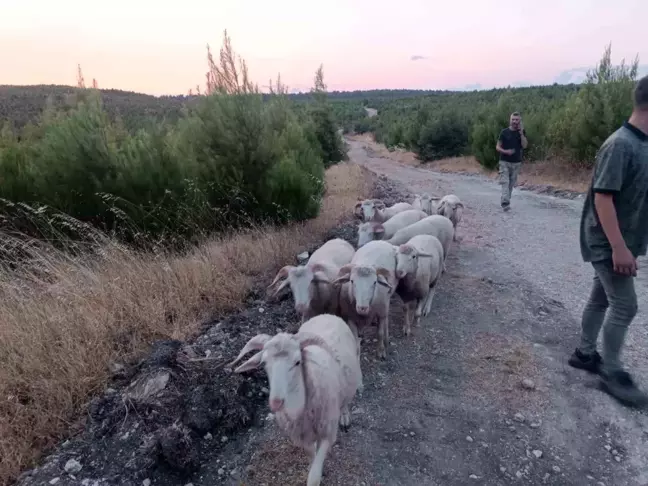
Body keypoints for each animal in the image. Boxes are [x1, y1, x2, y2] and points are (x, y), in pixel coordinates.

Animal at [228, 314, 362, 486]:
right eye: (264, 363)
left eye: (298, 362)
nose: (276, 403)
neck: (298, 408)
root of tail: (326, 314)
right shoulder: (302, 438)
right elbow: (312, 456)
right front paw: (314, 465)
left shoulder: (328, 433)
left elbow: (313, 477)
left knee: (345, 400)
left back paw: (344, 415)